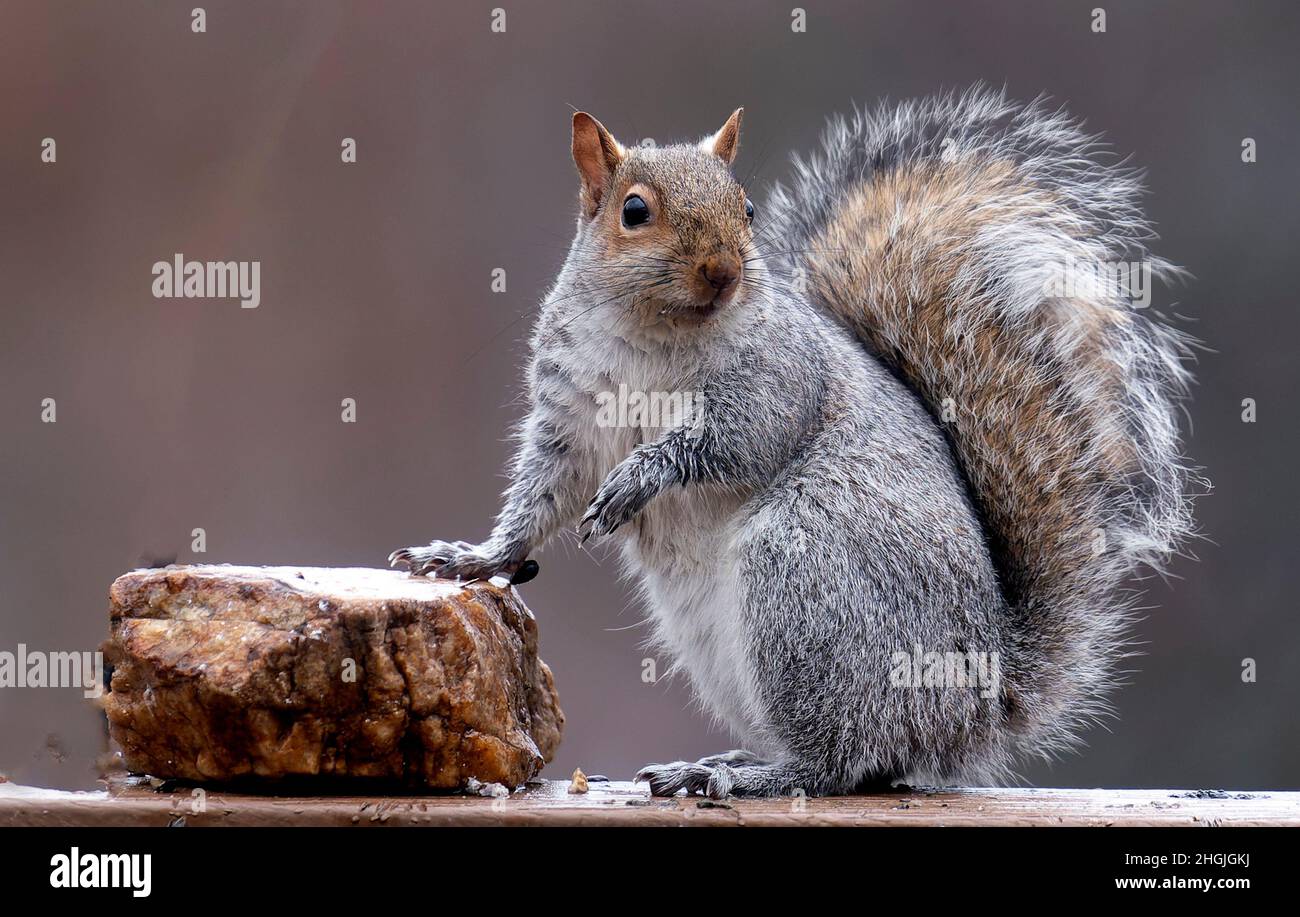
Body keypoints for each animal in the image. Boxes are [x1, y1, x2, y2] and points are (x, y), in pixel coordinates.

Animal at [391, 88, 1197, 797]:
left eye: (745, 208)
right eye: (633, 212)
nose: (722, 270)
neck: (655, 334)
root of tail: (975, 700)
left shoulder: (778, 380)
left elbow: (736, 440)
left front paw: (643, 475)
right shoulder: (568, 415)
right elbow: (544, 494)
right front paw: (472, 558)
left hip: (806, 578)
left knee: (843, 759)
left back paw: (748, 777)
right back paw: (732, 759)